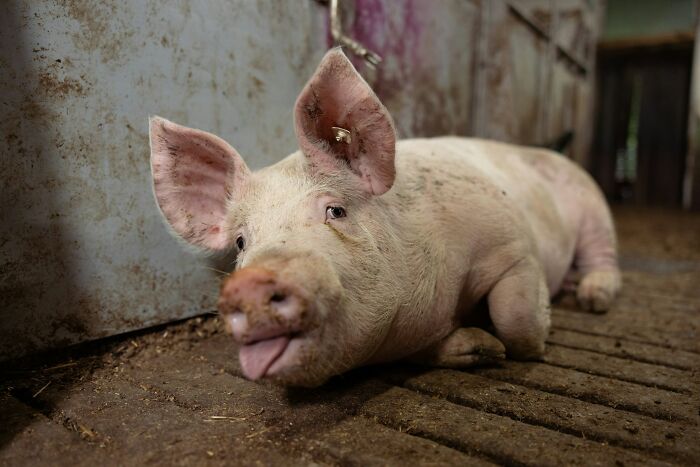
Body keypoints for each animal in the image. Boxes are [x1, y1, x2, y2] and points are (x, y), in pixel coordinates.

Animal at [149, 49, 620, 387]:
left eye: (335, 210)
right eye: (242, 241)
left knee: (603, 253)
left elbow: (516, 317)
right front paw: (481, 347)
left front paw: (526, 343)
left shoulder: (512, 244)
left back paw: (592, 297)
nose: (249, 283)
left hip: (593, 203)